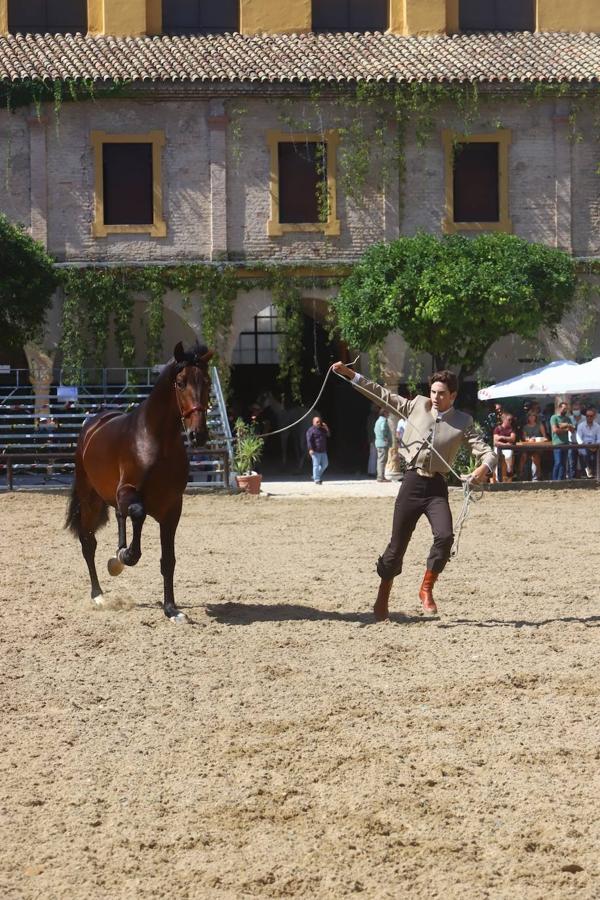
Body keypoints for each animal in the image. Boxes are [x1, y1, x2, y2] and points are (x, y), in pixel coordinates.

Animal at [65, 342, 213, 624]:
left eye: (208, 382)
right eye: (180, 383)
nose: (197, 435)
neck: (157, 442)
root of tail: (92, 423)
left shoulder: (172, 509)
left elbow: (168, 560)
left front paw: (171, 609)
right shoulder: (128, 492)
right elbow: (137, 513)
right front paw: (123, 557)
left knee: (120, 518)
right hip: (90, 500)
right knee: (89, 542)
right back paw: (98, 594)